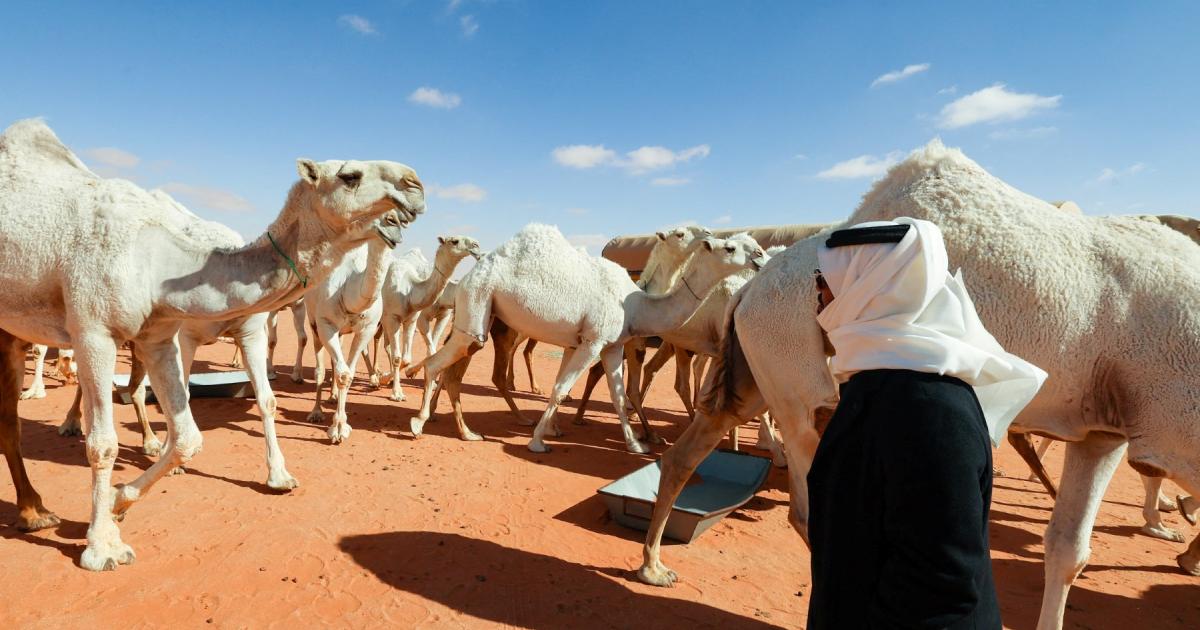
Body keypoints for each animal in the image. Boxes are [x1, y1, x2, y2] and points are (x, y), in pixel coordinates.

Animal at [303, 217, 410, 444]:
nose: (393, 235)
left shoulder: (367, 328)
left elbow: (348, 374)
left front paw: (341, 427)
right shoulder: (325, 323)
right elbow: (341, 373)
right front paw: (336, 429)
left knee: (336, 363)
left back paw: (333, 396)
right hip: (314, 322)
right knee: (320, 368)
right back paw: (316, 412)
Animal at [374, 236, 481, 402]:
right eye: (455, 241)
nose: (476, 246)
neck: (409, 291)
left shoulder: (428, 318)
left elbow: (410, 357)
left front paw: (405, 375)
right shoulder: (406, 318)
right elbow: (401, 357)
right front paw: (397, 392)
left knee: (384, 343)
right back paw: (373, 377)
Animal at [406, 224, 766, 453]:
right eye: (731, 247)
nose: (761, 255)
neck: (634, 303)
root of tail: (470, 274)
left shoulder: (613, 345)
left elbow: (619, 397)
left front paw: (635, 443)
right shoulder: (592, 341)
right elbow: (561, 389)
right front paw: (538, 441)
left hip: (484, 316)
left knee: (454, 369)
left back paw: (467, 432)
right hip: (478, 303)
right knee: (438, 363)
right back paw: (419, 423)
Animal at [635, 139, 1200, 630]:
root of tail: (751, 287)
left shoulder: (1100, 430)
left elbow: (1067, 550)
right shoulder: (1145, 419)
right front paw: (1180, 536)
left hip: (757, 372)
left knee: (687, 455)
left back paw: (653, 566)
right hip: (795, 384)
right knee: (808, 505)